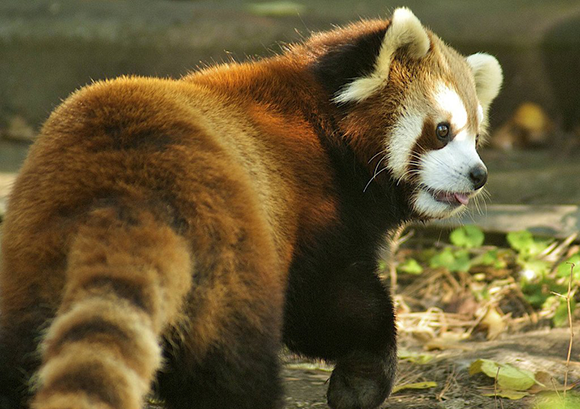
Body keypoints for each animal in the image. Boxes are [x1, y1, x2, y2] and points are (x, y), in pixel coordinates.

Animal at [0, 7, 500, 408]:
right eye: (442, 131)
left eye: (476, 138)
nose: (479, 175)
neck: (326, 126)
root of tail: (124, 191)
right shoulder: (313, 211)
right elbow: (327, 304)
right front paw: (362, 380)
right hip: (226, 267)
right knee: (235, 374)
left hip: (32, 261)